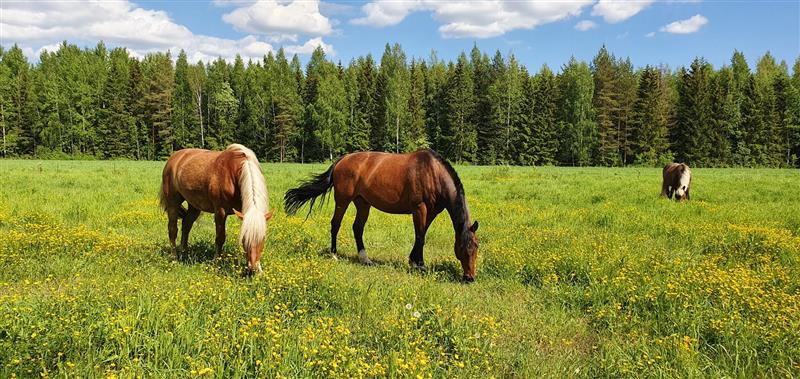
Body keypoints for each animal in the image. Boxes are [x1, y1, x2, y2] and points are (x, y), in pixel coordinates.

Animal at [159, 143, 276, 274]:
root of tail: (173, 158)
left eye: (263, 238)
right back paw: (174, 258)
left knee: (186, 225)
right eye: (244, 238)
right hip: (172, 203)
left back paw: (184, 253)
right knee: (173, 230)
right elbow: (220, 238)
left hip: (194, 205)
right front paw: (216, 264)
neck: (233, 173)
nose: (253, 268)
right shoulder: (220, 211)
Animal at [284, 148, 478, 282]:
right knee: (335, 224)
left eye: (476, 247)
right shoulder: (419, 209)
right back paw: (334, 255)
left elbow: (421, 235)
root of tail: (342, 159)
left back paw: (365, 259)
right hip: (342, 201)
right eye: (462, 247)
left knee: (357, 228)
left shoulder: (431, 212)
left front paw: (414, 261)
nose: (470, 277)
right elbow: (420, 236)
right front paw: (419, 265)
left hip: (363, 203)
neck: (432, 172)